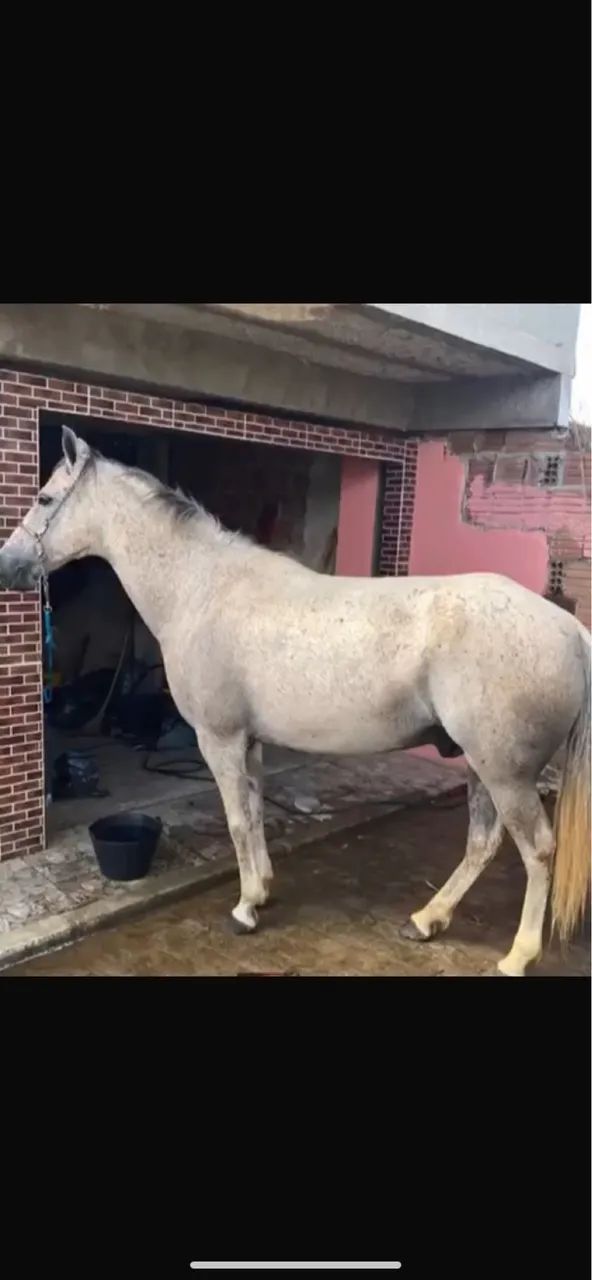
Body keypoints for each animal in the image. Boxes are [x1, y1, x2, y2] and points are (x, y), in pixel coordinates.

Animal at [0, 427, 589, 976]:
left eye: (45, 499)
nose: (9, 565)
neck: (202, 589)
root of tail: (570, 630)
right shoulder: (249, 741)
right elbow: (257, 810)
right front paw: (261, 889)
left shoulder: (219, 739)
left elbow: (237, 821)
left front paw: (243, 911)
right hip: (481, 765)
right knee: (483, 843)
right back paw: (427, 919)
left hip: (505, 773)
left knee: (537, 849)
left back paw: (517, 954)